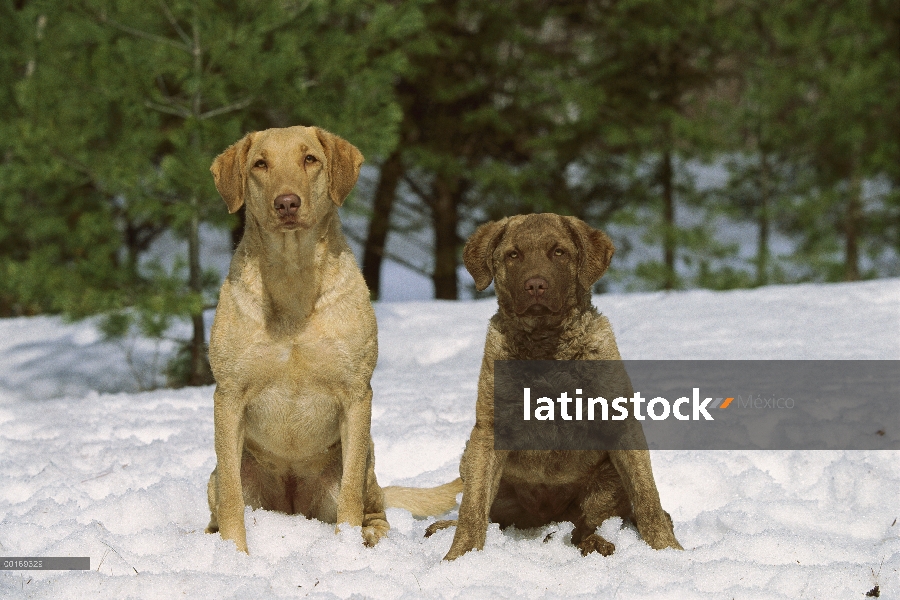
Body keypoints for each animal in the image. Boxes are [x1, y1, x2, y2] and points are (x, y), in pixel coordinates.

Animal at [207, 126, 460, 552]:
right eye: (260, 163)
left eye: (310, 159)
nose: (287, 203)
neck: (293, 277)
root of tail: (292, 509)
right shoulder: (228, 395)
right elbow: (230, 496)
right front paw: (233, 554)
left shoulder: (355, 394)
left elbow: (350, 494)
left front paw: (346, 552)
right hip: (228, 473)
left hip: (365, 459)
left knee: (371, 502)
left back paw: (372, 534)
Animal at [428, 214, 684, 556]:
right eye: (513, 254)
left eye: (559, 252)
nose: (535, 285)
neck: (545, 346)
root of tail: (544, 520)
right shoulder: (489, 430)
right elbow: (473, 506)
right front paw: (459, 557)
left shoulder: (622, 425)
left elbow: (647, 497)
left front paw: (669, 551)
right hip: (471, 457)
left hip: (603, 485)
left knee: (587, 524)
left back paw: (597, 543)